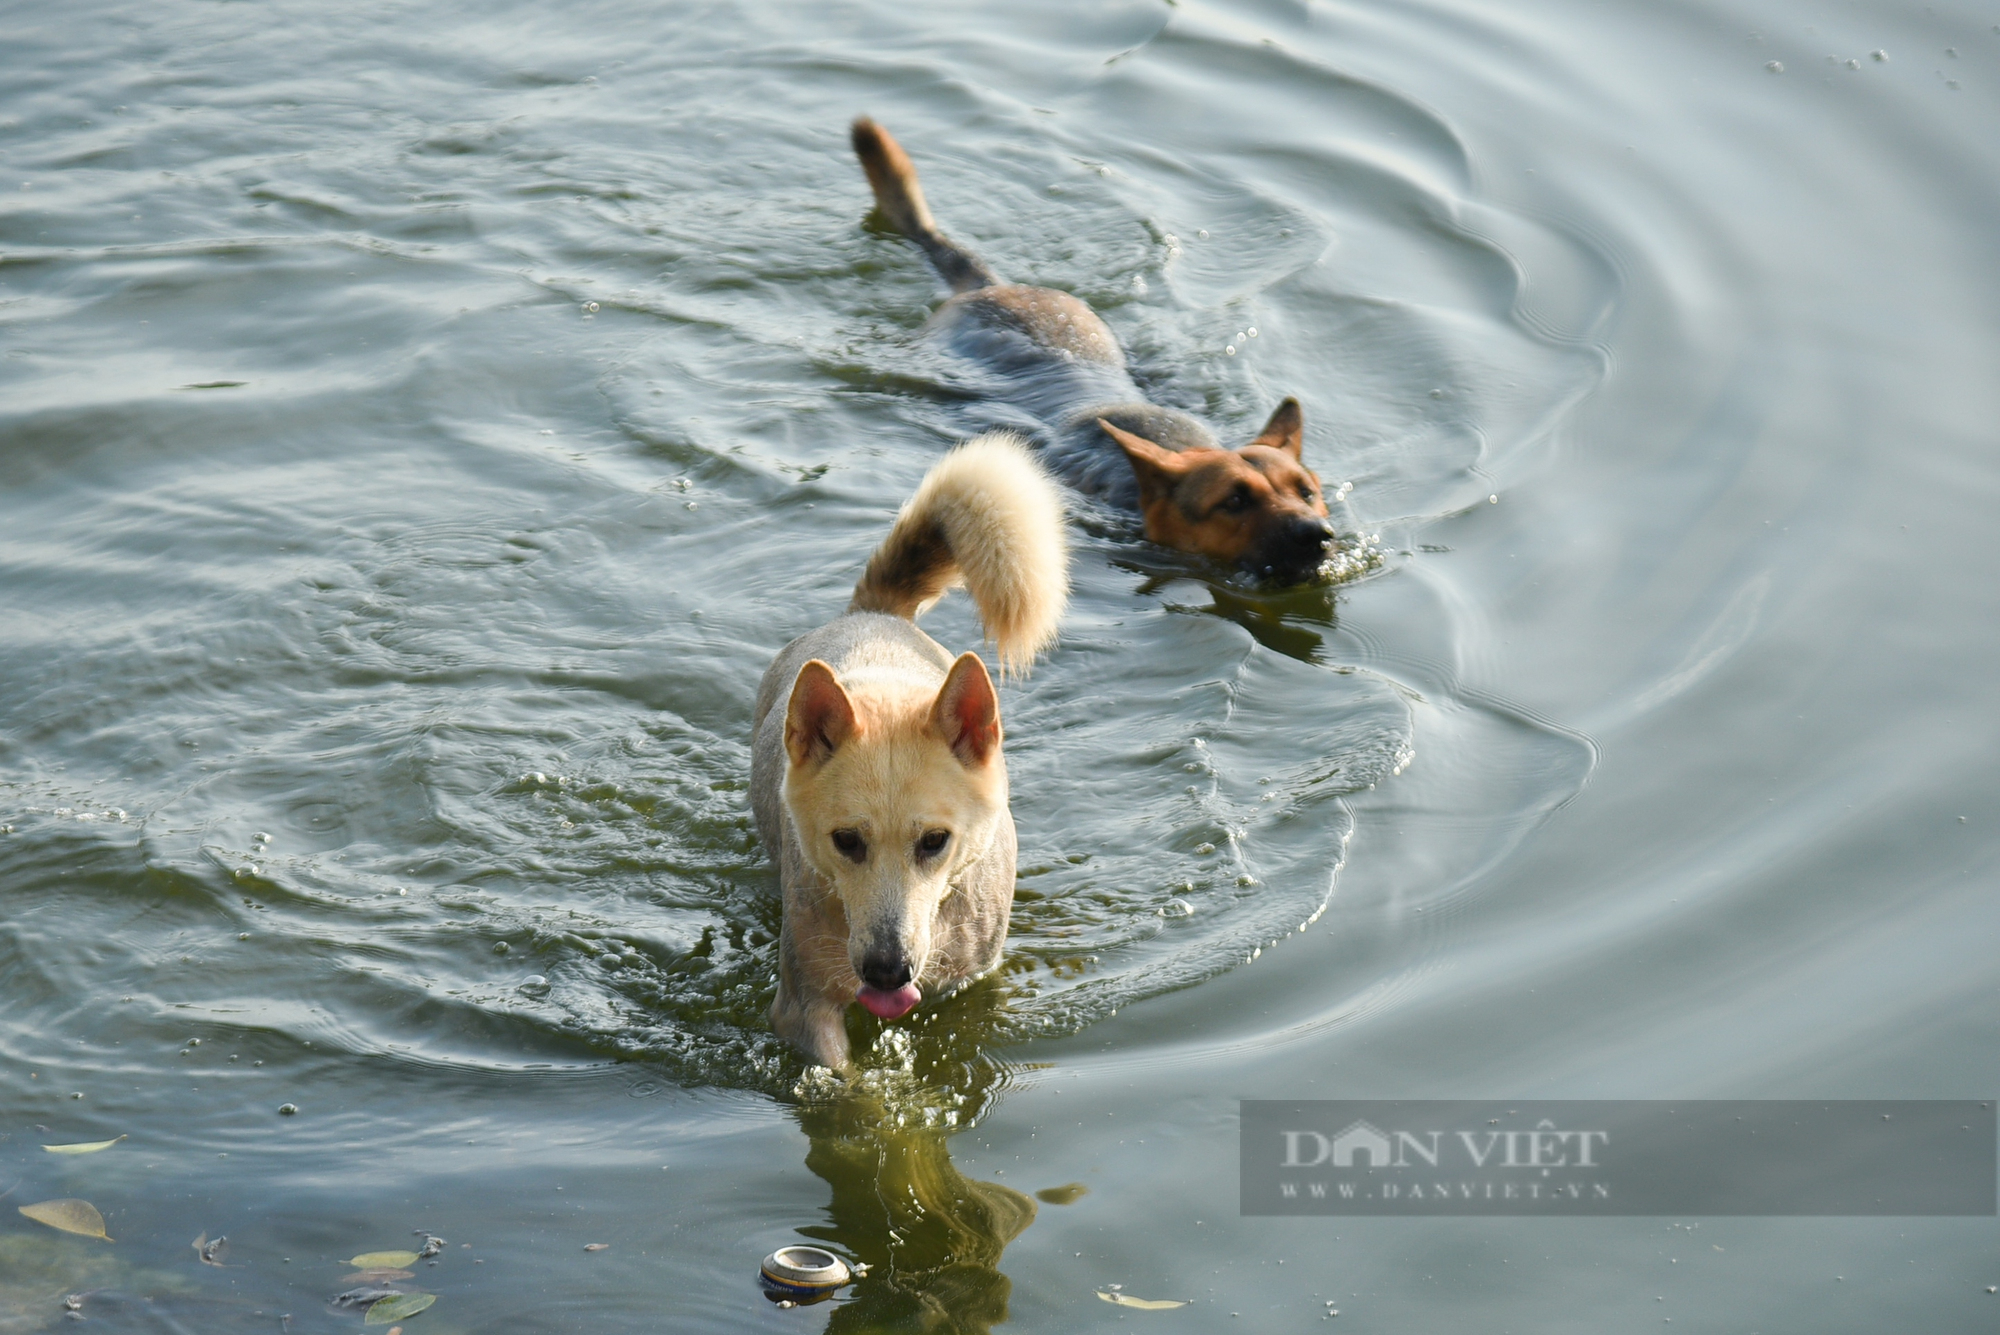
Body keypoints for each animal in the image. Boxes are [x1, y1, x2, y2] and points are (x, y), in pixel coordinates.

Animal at [752, 433, 1072, 1071]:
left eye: (934, 842)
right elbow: (846, 1082)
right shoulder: (803, 1006)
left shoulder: (971, 980)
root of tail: (874, 614)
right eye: (846, 841)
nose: (886, 969)